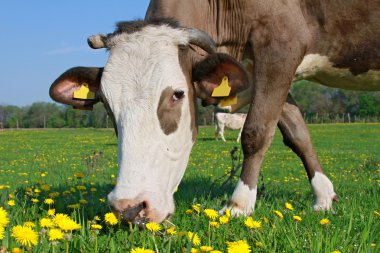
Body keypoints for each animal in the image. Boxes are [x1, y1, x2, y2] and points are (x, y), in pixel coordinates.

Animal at [49, 0, 380, 222]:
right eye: (106, 102)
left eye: (177, 94)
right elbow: (297, 133)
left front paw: (239, 204)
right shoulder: (257, 68)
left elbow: (256, 132)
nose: (129, 207)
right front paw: (324, 197)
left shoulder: (281, 46)